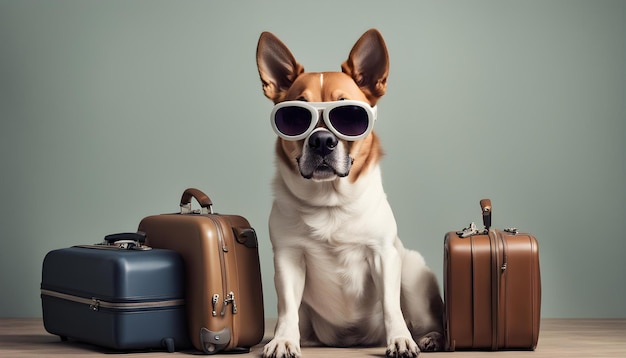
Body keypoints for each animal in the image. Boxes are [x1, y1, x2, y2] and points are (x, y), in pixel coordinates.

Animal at [255, 29, 444, 356]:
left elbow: (391, 305)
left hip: (411, 271)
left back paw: (429, 337)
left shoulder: (383, 255)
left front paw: (400, 339)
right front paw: (283, 340)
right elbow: (287, 307)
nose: (321, 141)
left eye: (350, 116)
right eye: (293, 118)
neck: (330, 201)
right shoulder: (289, 259)